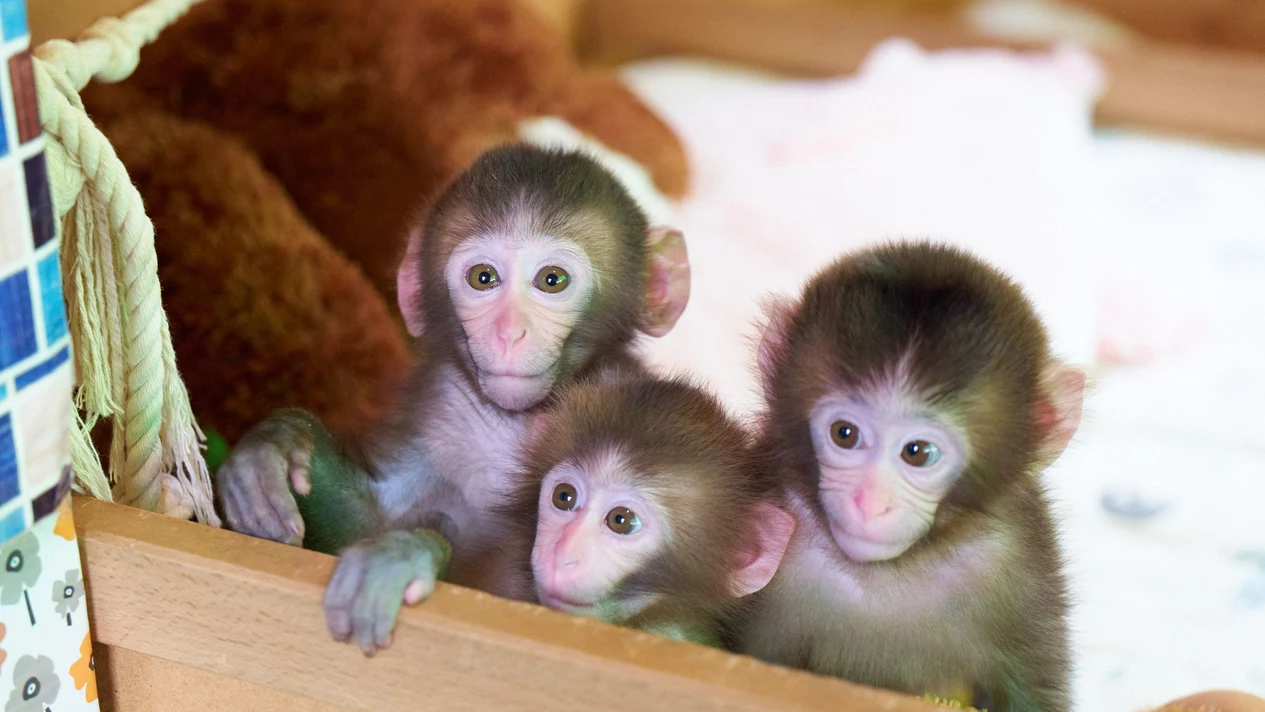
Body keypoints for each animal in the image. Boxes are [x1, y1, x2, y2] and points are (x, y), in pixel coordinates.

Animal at [213, 144, 692, 654]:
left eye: (552, 280)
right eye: (483, 278)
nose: (509, 333)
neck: (516, 424)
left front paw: (405, 553)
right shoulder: (437, 414)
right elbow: (363, 523)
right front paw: (277, 444)